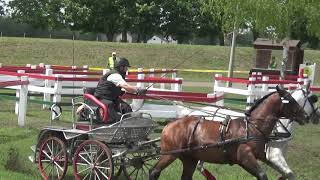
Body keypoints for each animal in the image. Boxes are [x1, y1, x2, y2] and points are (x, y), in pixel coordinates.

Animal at [150, 86, 308, 180]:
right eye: (291, 100)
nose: (305, 116)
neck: (251, 128)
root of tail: (169, 125)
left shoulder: (262, 156)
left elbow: (287, 172)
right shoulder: (245, 158)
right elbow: (263, 175)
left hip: (190, 159)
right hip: (170, 154)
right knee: (154, 171)